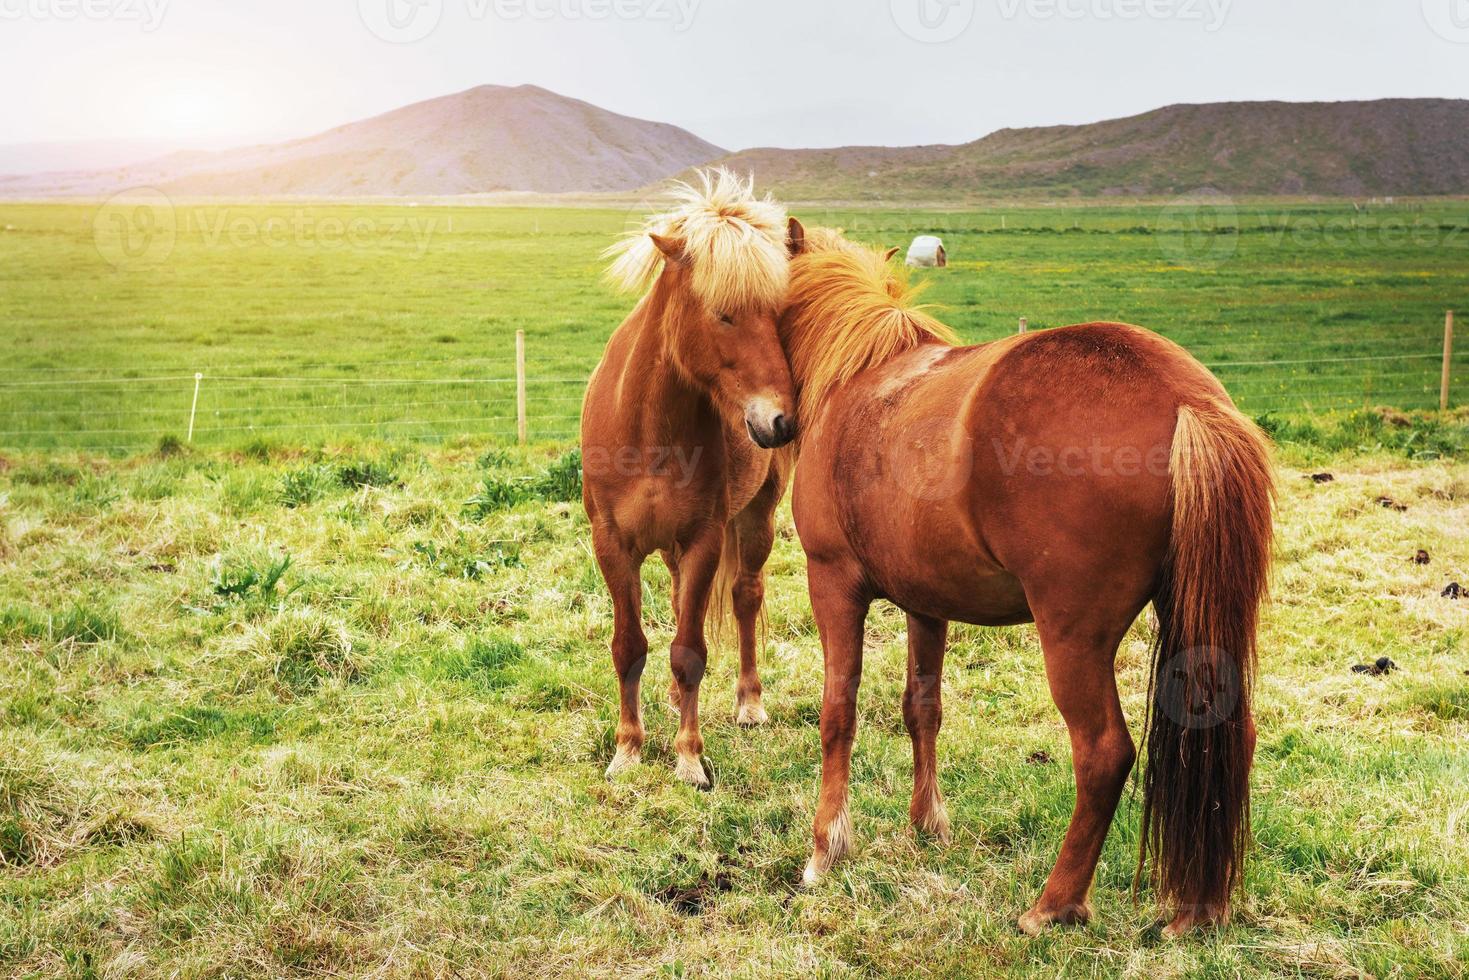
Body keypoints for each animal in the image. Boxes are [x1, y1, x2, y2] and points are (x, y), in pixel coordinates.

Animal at [578, 170, 805, 787]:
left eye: (781, 315)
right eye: (723, 313)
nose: (781, 421)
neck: (650, 431)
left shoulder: (705, 539)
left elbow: (689, 649)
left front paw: (689, 757)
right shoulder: (614, 544)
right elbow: (630, 645)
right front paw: (628, 750)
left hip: (755, 520)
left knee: (746, 597)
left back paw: (749, 703)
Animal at [781, 233, 1275, 940]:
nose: (767, 426)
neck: (861, 378)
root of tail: (1188, 401)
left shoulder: (833, 585)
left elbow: (837, 714)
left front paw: (825, 850)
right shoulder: (927, 605)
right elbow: (921, 708)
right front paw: (927, 827)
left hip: (1072, 639)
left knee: (1103, 754)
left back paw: (1054, 904)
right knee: (1224, 735)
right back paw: (1197, 909)